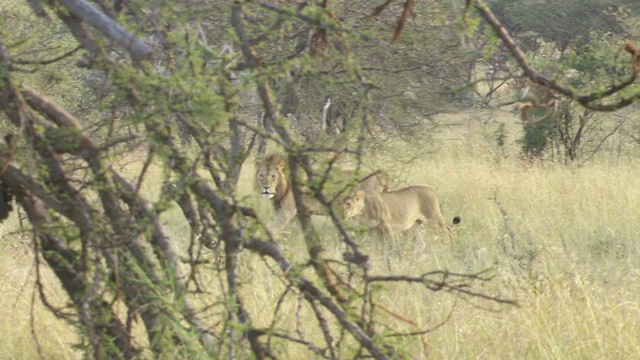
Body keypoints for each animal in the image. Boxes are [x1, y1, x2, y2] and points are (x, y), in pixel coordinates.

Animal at [256, 153, 390, 232]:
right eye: (261, 176)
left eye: (273, 177)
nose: (266, 188)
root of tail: (380, 175)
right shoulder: (304, 213)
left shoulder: (286, 213)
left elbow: (271, 228)